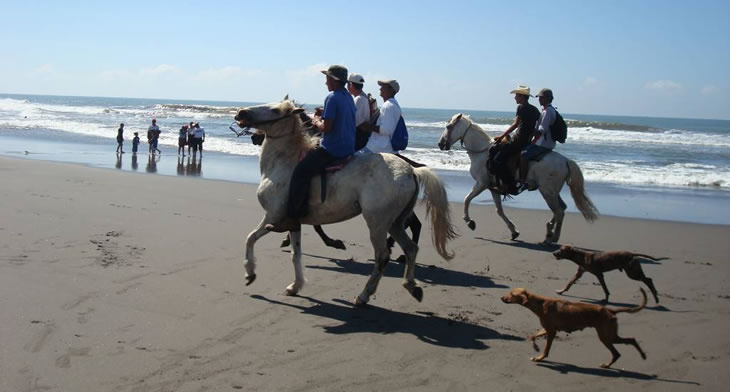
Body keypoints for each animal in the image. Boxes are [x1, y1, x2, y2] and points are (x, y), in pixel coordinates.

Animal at [436, 112, 596, 243]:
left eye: (449, 126)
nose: (440, 144)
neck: (482, 153)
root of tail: (566, 161)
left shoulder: (482, 183)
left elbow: (467, 199)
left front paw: (469, 222)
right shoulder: (493, 187)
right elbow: (499, 211)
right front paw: (514, 231)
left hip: (547, 191)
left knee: (559, 211)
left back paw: (552, 237)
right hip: (552, 191)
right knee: (561, 208)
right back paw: (549, 231)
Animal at [498, 288, 644, 368]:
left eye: (511, 294)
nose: (501, 297)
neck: (540, 303)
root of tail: (610, 310)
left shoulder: (551, 331)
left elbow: (546, 350)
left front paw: (540, 357)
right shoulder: (548, 329)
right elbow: (532, 336)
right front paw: (536, 348)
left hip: (605, 336)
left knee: (618, 351)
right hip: (609, 335)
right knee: (630, 340)